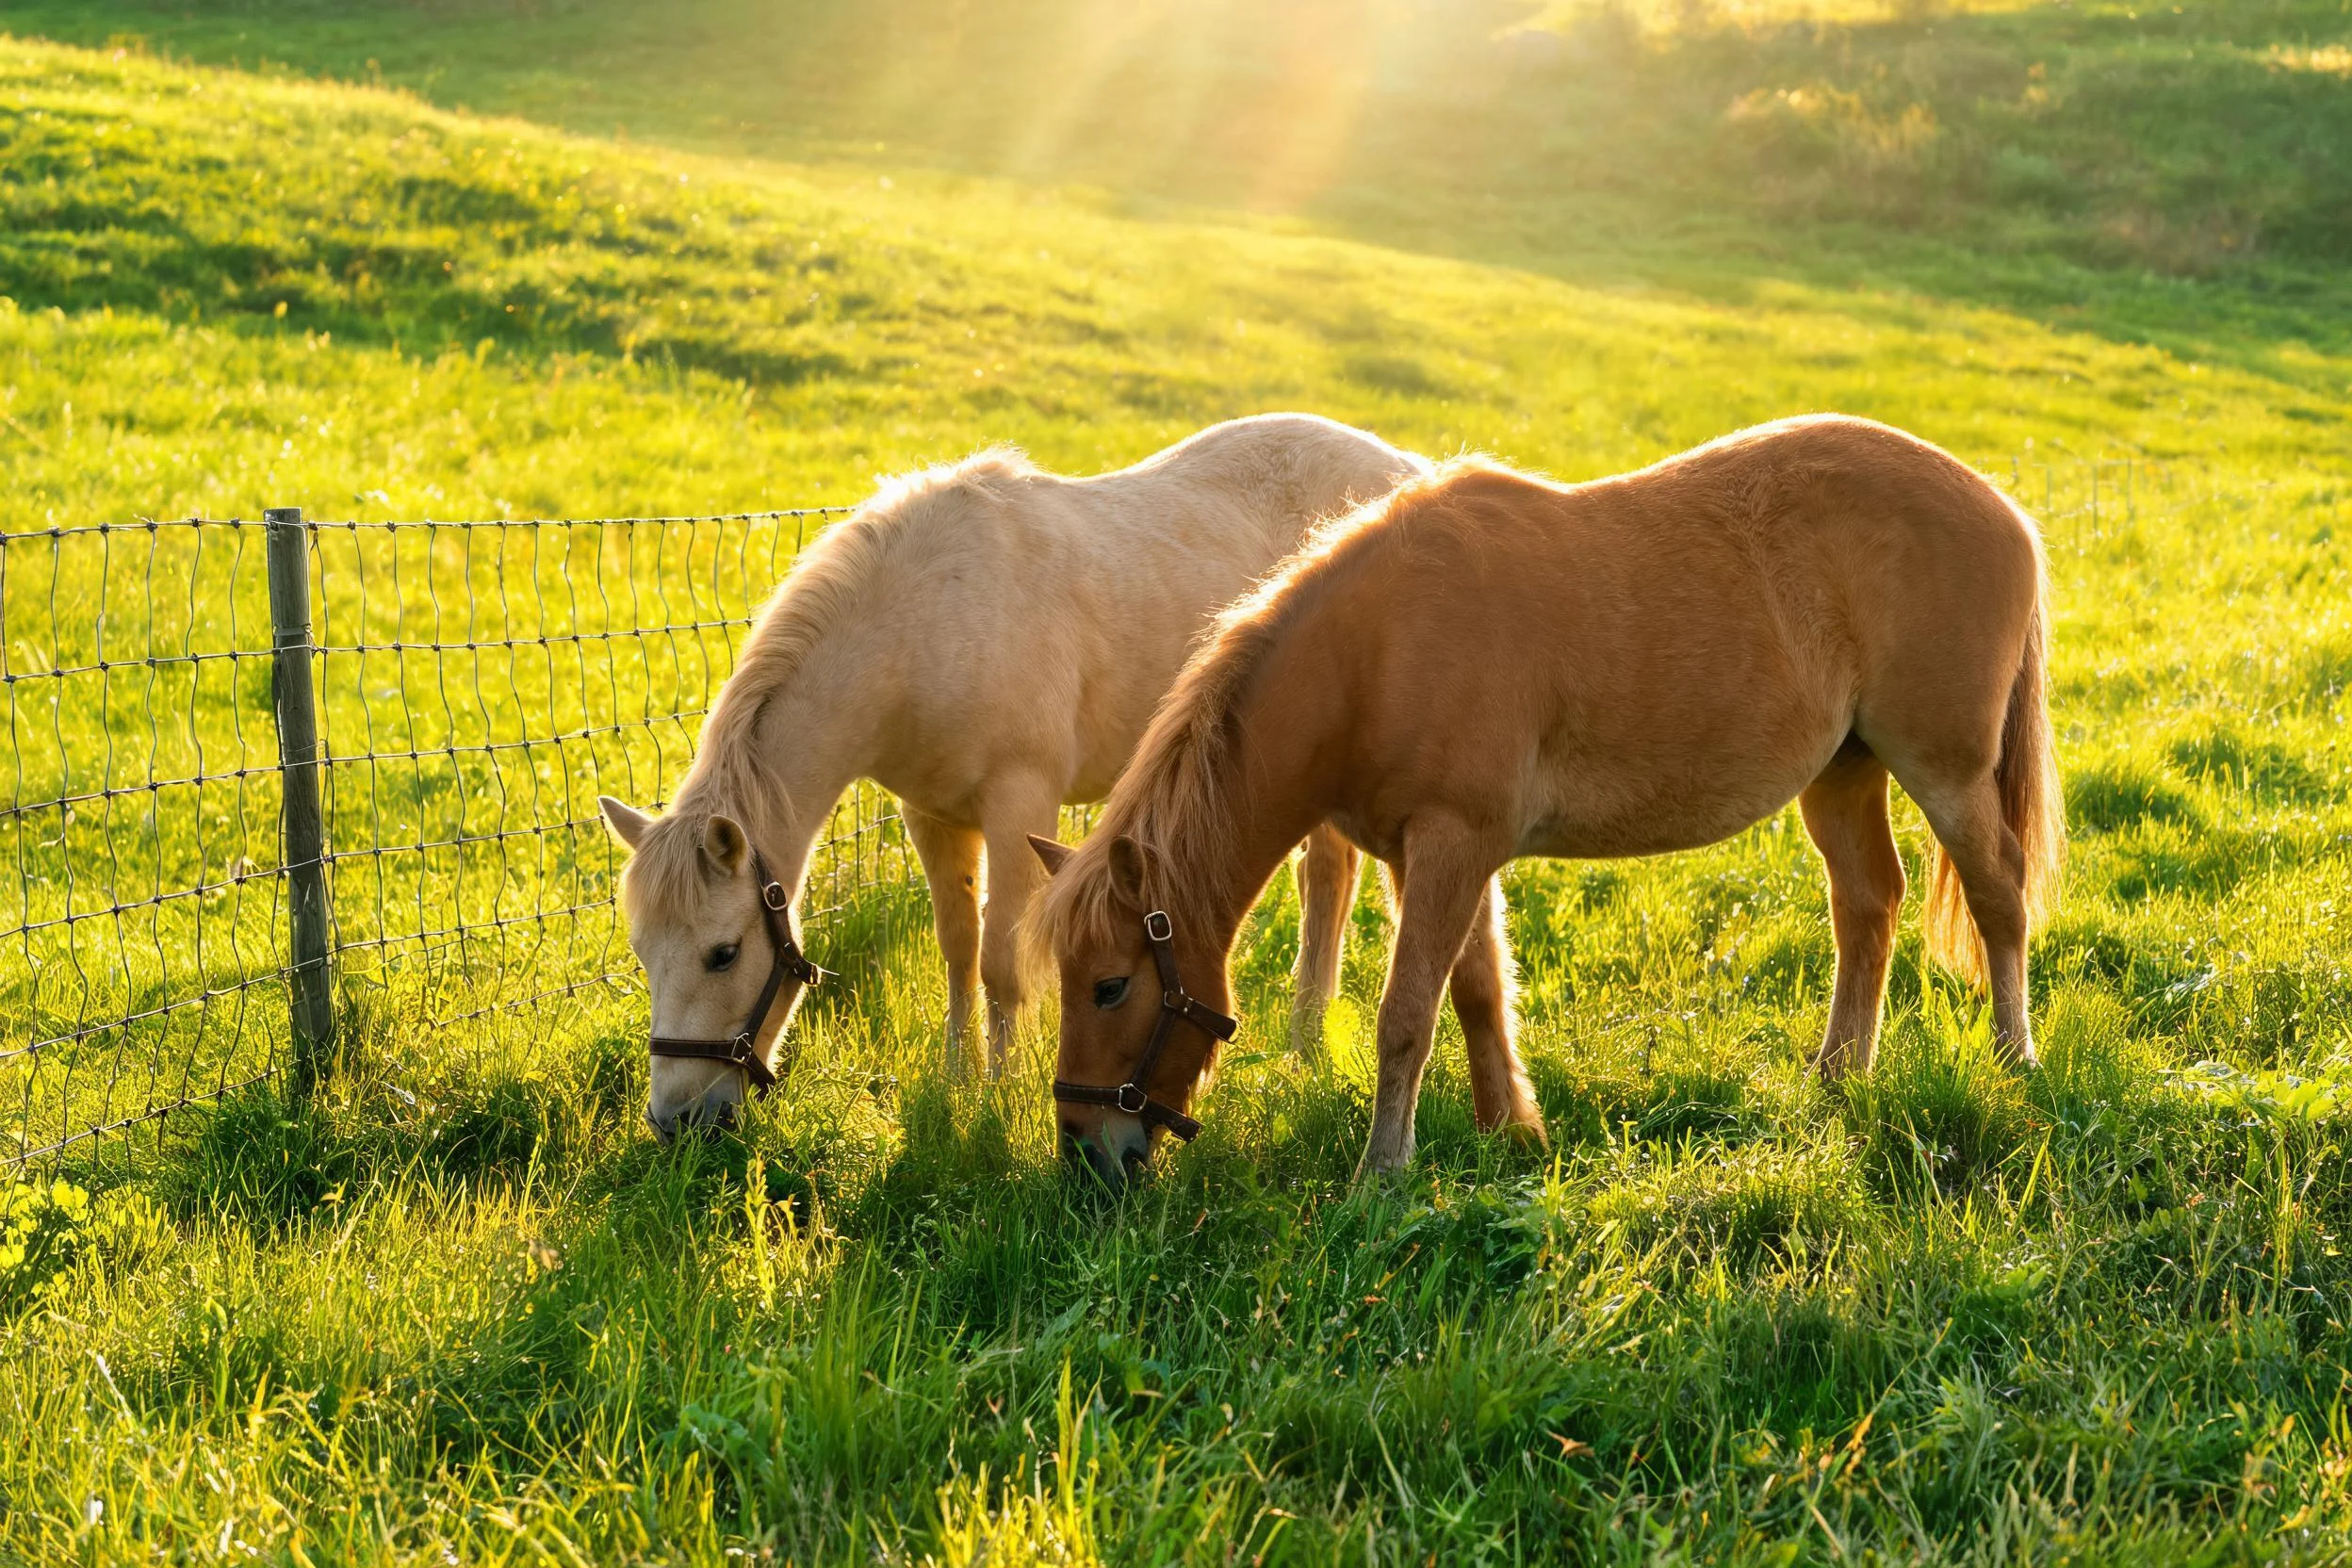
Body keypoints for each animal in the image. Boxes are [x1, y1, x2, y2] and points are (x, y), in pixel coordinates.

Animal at [599, 413, 1429, 1139]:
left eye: (723, 953)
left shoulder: (1018, 803)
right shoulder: (932, 816)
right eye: (642, 952)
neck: (922, 620)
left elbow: (1002, 961)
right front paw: (957, 1078)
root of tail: (1404, 469)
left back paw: (1304, 1039)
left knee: (1326, 883)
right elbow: (958, 948)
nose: (676, 1122)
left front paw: (1000, 1095)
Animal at [1030, 415, 2064, 1189]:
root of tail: (2008, 512)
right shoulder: (1431, 852)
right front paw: (1509, 1129)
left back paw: (2014, 1058)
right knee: (1867, 904)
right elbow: (1477, 991)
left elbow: (1406, 1014)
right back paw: (1838, 1072)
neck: (1375, 654)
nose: (1086, 1155)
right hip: (1843, 771)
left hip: (1945, 770)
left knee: (1999, 896)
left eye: (1110, 983)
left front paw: (1382, 1173)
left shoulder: (1452, 844)